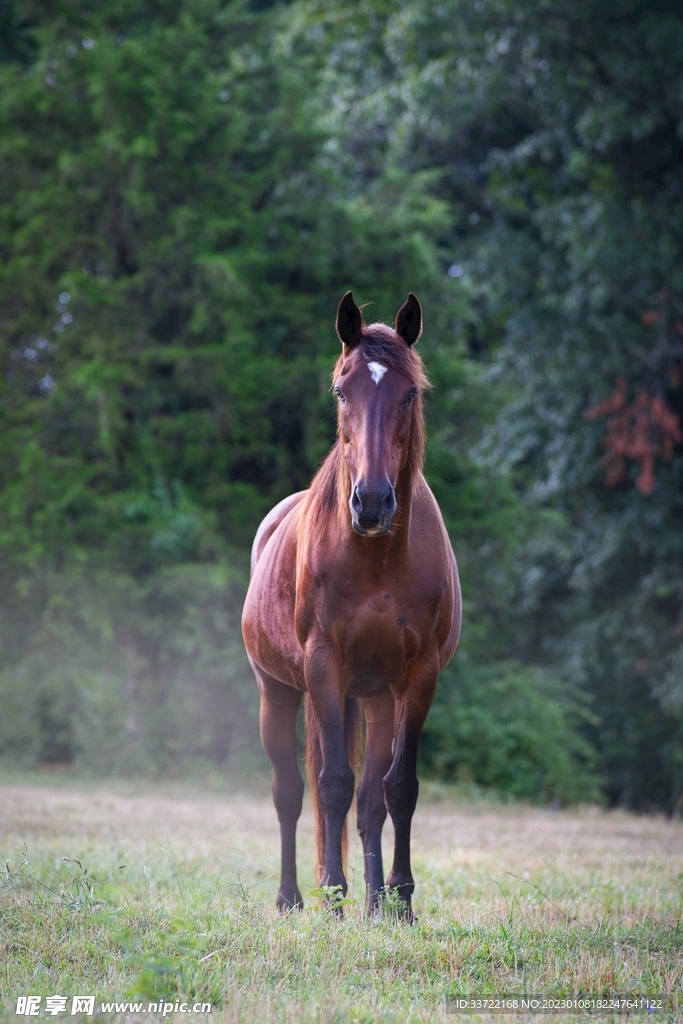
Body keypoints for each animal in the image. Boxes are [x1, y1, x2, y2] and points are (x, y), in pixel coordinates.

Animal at [241, 291, 461, 918]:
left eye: (409, 393)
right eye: (342, 391)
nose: (372, 502)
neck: (378, 558)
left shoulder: (417, 676)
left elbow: (396, 790)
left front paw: (399, 904)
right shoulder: (324, 666)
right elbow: (331, 785)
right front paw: (335, 902)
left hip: (376, 697)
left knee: (369, 801)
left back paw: (372, 902)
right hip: (280, 691)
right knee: (292, 793)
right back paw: (296, 897)